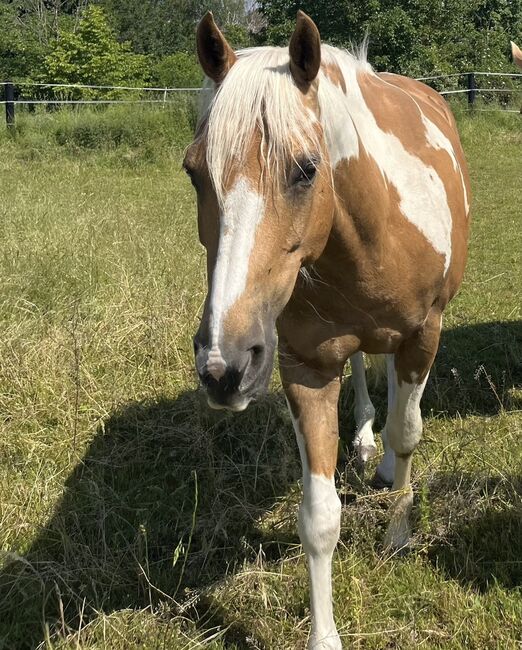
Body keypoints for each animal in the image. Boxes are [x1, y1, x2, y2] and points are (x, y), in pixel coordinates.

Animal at [185, 11, 470, 649]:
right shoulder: (306, 366)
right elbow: (319, 517)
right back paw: (363, 437)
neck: (373, 229)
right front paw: (324, 635)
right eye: (193, 172)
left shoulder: (424, 336)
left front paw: (397, 535)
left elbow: (408, 432)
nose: (224, 366)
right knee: (364, 367)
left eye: (306, 169)